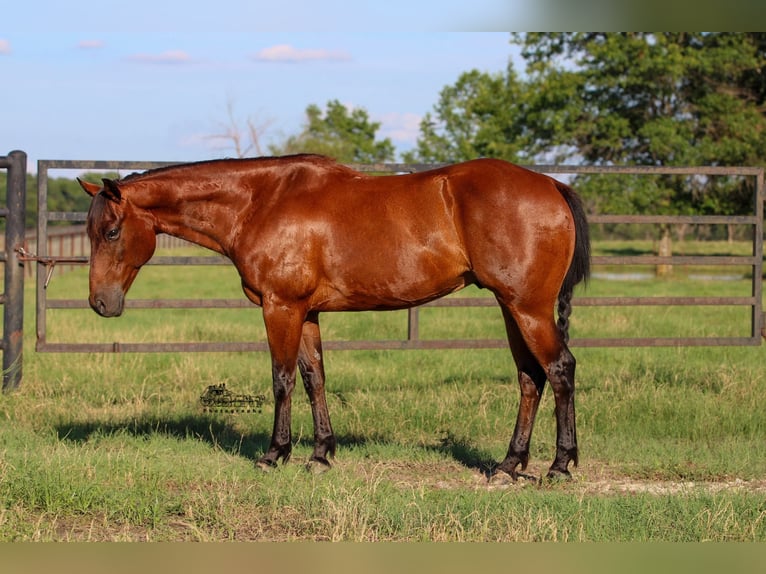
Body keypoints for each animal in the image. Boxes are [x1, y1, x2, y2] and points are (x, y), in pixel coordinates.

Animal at [78, 154, 592, 482]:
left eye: (111, 231)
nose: (100, 302)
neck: (259, 201)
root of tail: (552, 185)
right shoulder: (306, 313)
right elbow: (314, 379)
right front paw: (321, 454)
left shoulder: (281, 307)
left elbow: (282, 379)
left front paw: (275, 454)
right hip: (511, 307)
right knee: (530, 377)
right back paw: (509, 466)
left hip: (527, 308)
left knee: (559, 369)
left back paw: (559, 466)